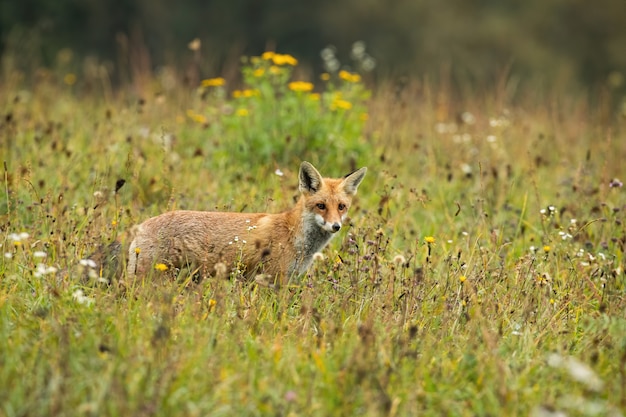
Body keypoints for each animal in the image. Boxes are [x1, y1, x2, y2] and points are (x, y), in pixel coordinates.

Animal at [127, 160, 366, 282]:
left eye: (341, 207)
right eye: (321, 206)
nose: (336, 226)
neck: (295, 238)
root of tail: (142, 225)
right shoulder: (271, 279)